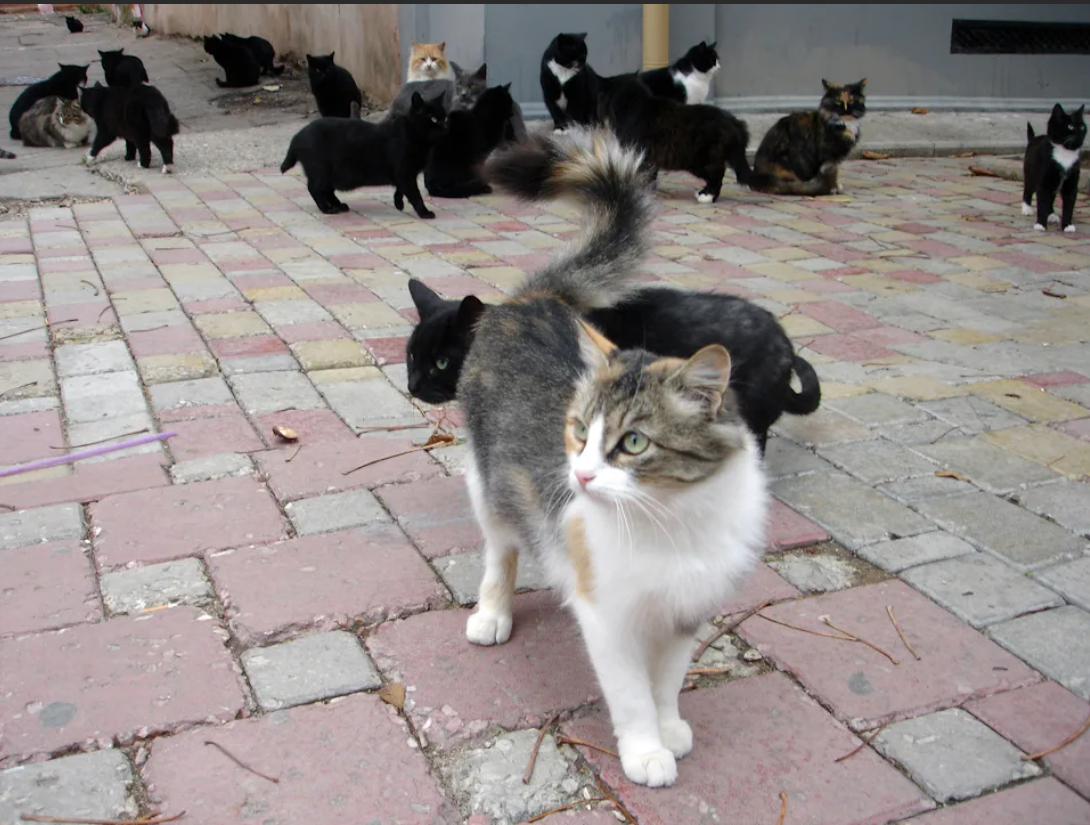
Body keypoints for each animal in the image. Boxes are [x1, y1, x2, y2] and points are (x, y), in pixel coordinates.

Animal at [280, 91, 447, 218]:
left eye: (444, 117)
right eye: (433, 118)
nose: (445, 127)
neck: (413, 135)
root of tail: (298, 136)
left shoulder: (404, 174)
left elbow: (400, 189)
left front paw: (398, 203)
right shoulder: (405, 173)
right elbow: (415, 195)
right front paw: (424, 212)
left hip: (331, 174)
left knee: (326, 190)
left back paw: (339, 205)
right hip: (322, 171)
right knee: (314, 188)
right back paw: (327, 209)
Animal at [458, 128, 768, 789]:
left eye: (633, 443)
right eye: (578, 432)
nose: (579, 474)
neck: (672, 521)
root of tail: (536, 300)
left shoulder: (684, 613)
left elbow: (667, 682)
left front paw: (669, 727)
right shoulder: (609, 617)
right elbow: (630, 693)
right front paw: (645, 750)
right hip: (487, 485)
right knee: (500, 551)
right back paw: (492, 613)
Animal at [597, 72, 750, 202]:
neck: (636, 107)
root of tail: (732, 120)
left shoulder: (640, 154)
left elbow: (643, 175)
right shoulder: (651, 158)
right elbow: (651, 176)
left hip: (700, 160)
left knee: (717, 175)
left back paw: (707, 195)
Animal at [1023, 103, 1086, 233]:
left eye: (1082, 127)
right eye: (1070, 126)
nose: (1080, 133)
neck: (1065, 153)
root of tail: (1033, 139)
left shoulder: (1071, 184)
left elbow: (1069, 206)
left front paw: (1067, 225)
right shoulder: (1043, 182)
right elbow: (1042, 203)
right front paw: (1040, 224)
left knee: (1051, 198)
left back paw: (1051, 214)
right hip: (1031, 173)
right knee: (1028, 189)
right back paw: (1026, 208)